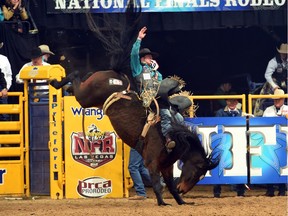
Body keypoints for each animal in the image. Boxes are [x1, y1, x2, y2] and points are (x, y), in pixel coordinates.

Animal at [49, 0, 218, 206]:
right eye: (197, 172)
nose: (183, 190)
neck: (174, 140)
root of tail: (115, 73)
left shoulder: (166, 166)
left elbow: (168, 184)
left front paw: (181, 201)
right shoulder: (152, 163)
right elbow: (157, 183)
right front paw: (162, 202)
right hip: (86, 97)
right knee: (74, 76)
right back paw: (56, 82)